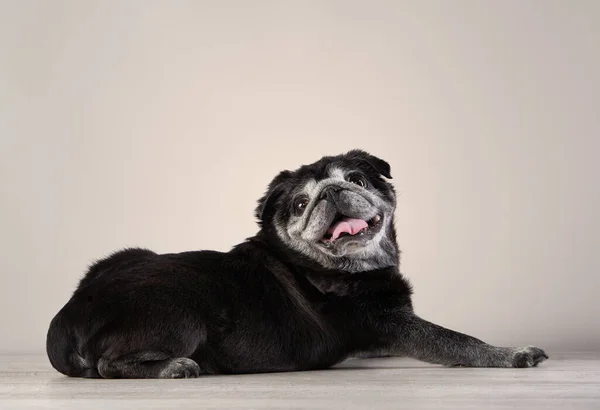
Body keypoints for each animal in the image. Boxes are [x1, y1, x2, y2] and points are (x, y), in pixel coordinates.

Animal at [44, 151, 548, 378]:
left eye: (358, 178)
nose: (330, 191)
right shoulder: (393, 322)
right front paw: (510, 354)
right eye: (301, 203)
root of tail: (67, 318)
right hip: (180, 310)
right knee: (108, 365)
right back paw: (173, 367)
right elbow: (458, 341)